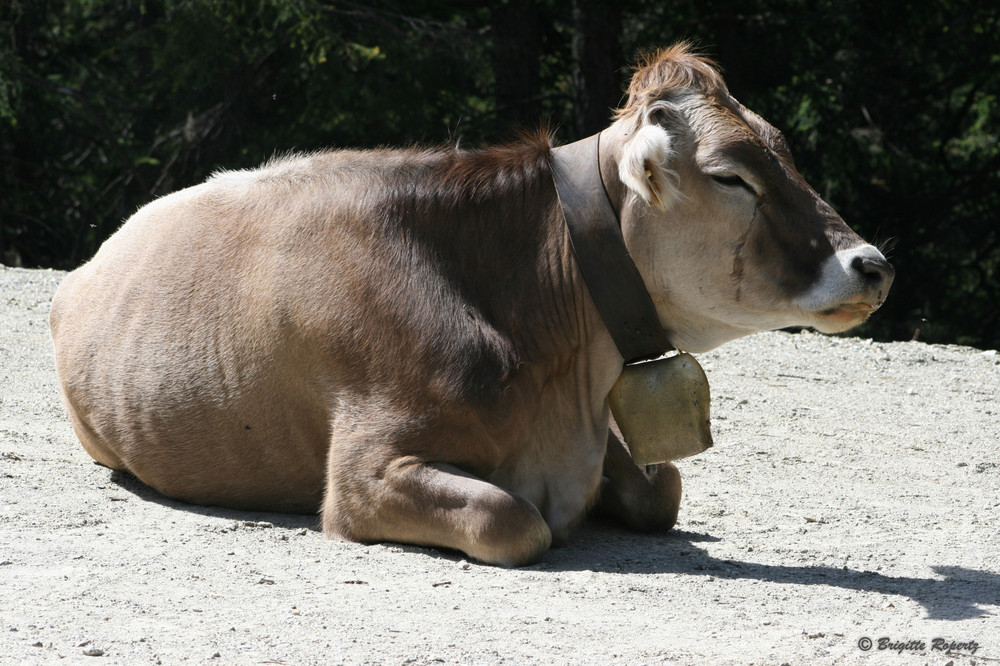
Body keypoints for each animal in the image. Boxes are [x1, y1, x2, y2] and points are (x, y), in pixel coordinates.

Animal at [48, 44, 892, 564]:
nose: (872, 264)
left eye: (782, 151)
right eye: (729, 176)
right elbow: (513, 519)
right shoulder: (364, 474)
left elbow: (664, 488)